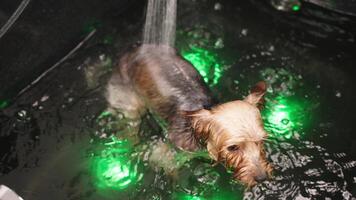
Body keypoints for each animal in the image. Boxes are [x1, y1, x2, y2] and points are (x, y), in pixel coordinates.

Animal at [107, 44, 272, 187]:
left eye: (261, 141)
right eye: (232, 147)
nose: (262, 177)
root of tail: (134, 50)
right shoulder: (165, 154)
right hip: (129, 102)